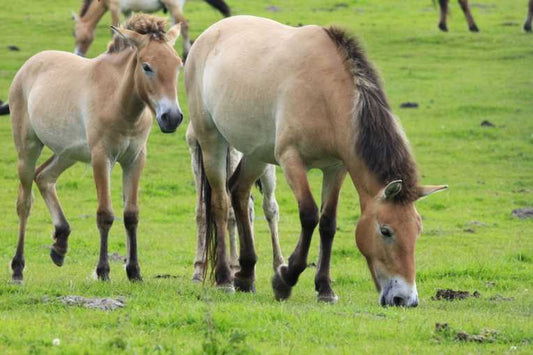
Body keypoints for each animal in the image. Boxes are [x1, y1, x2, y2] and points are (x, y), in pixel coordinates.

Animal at [7, 14, 183, 284]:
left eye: (178, 65)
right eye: (147, 66)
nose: (171, 118)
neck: (119, 101)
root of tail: (30, 64)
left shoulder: (135, 159)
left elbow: (131, 215)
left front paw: (134, 272)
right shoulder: (102, 158)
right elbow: (105, 214)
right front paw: (103, 271)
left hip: (68, 153)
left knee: (44, 176)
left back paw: (60, 244)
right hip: (27, 149)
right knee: (25, 202)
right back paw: (18, 268)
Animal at [70, 0, 229, 57]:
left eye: (76, 35)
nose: (77, 54)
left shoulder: (115, 7)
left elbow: (114, 30)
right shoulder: (127, 11)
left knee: (184, 23)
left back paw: (186, 52)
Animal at [185, 16, 446, 306]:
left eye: (417, 230)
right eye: (386, 231)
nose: (406, 299)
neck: (326, 93)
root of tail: (208, 34)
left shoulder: (336, 167)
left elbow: (328, 223)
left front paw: (325, 288)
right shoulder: (291, 160)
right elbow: (309, 215)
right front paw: (285, 279)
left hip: (256, 153)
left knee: (239, 194)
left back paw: (246, 275)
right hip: (212, 141)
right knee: (220, 203)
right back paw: (224, 279)